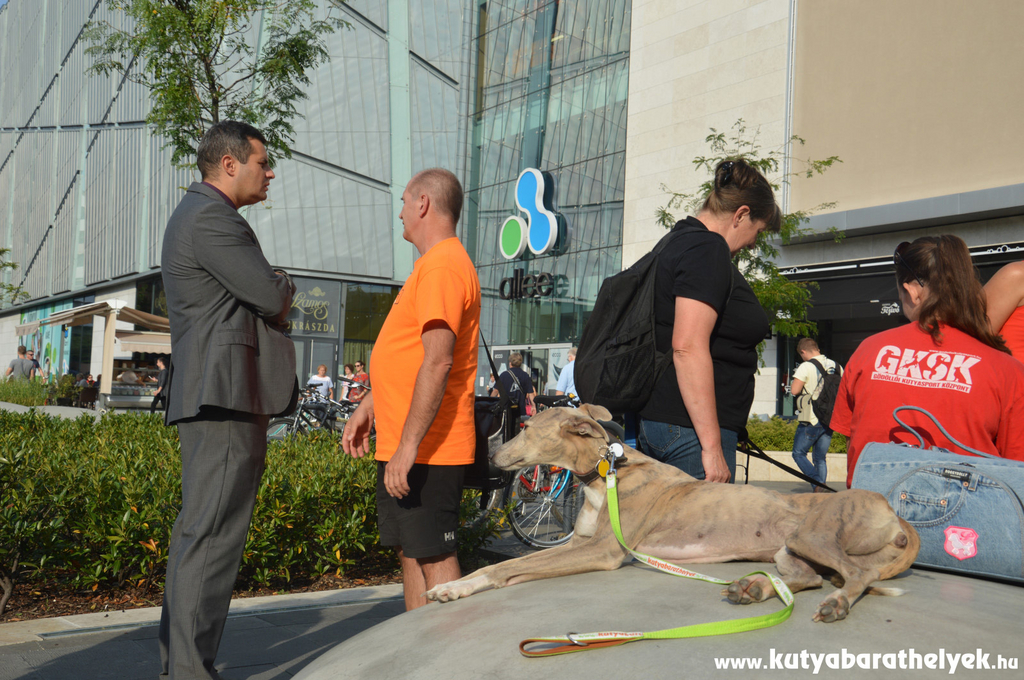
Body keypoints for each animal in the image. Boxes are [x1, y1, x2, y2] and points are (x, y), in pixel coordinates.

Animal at [426, 405, 920, 622]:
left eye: (526, 427)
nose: (491, 461)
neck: (605, 473)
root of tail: (894, 513)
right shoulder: (583, 543)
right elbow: (512, 564)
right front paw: (453, 586)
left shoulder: (604, 551)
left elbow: (505, 568)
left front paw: (459, 586)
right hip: (788, 550)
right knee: (809, 578)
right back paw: (754, 588)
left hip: (812, 536)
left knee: (857, 576)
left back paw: (835, 603)